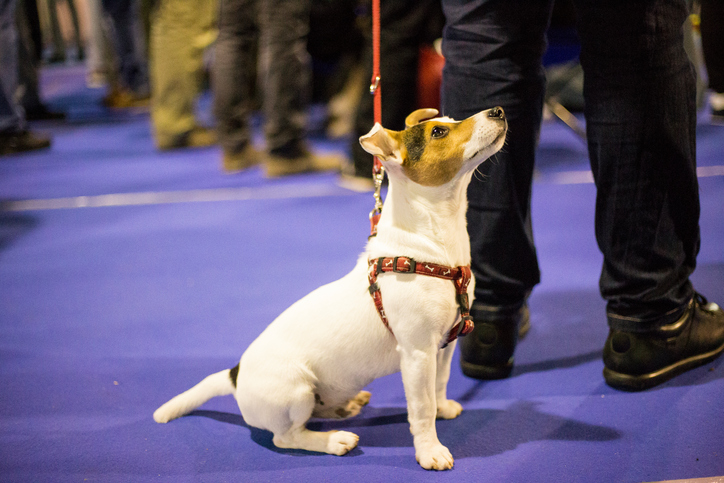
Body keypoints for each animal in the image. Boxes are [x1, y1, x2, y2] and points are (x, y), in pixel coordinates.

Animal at [153, 107, 506, 472]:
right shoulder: (417, 353)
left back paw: (345, 407)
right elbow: (421, 409)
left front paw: (443, 408)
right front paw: (429, 451)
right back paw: (334, 440)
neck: (433, 251)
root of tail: (235, 376)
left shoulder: (444, 345)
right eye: (438, 132)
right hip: (296, 390)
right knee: (287, 437)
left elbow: (440, 383)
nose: (497, 110)